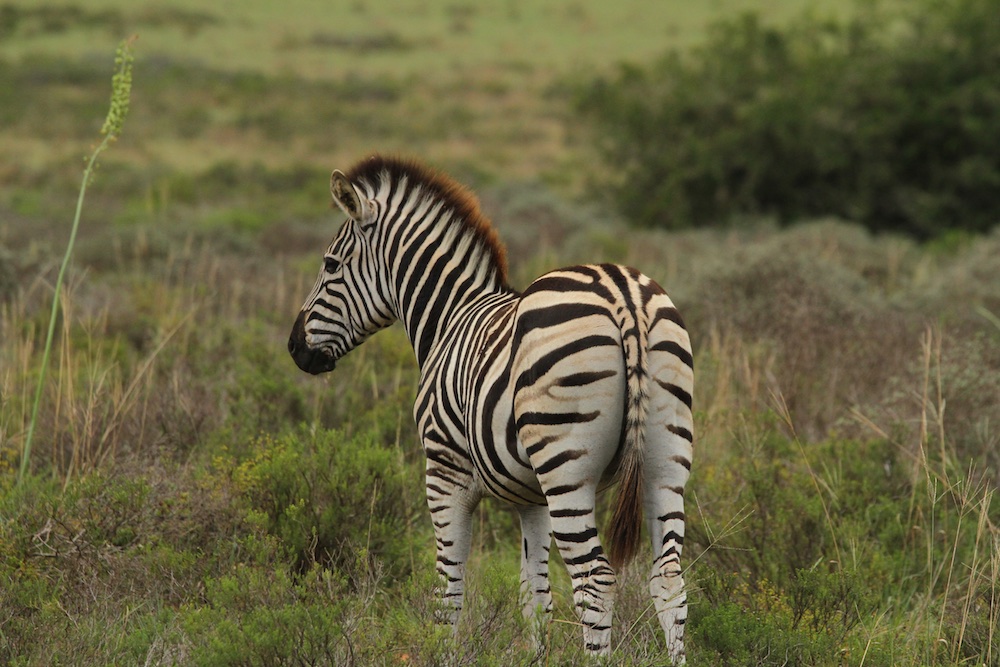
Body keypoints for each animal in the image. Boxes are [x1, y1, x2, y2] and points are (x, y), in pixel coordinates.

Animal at [290, 157, 696, 664]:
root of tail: (622, 294)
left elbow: (449, 590)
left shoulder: (443, 474)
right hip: (664, 459)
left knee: (595, 581)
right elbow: (534, 595)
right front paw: (536, 657)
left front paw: (443, 654)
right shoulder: (531, 499)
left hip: (567, 469)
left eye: (330, 265)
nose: (295, 348)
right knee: (669, 579)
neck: (449, 317)